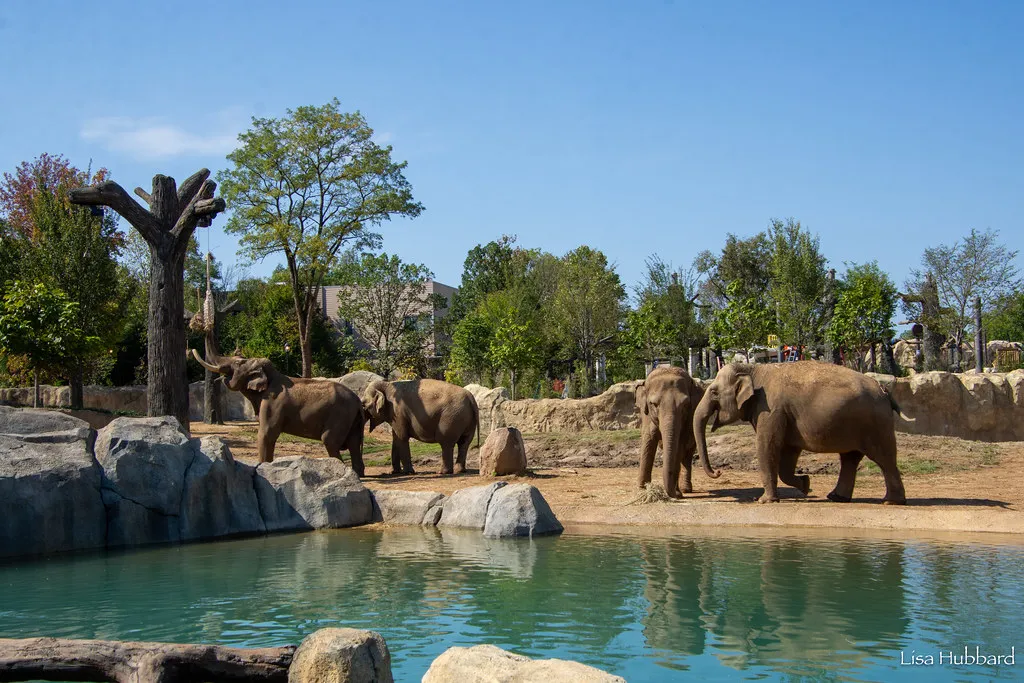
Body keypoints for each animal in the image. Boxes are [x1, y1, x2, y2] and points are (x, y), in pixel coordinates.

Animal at [192, 349, 366, 475]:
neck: (271, 374)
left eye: (237, 362)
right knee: (354, 443)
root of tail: (358, 402)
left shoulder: (273, 403)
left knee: (330, 440)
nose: (218, 378)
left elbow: (266, 434)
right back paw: (358, 475)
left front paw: (263, 468)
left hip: (340, 416)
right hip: (353, 420)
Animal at [634, 366, 712, 498]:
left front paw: (676, 493)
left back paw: (685, 490)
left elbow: (679, 445)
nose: (675, 494)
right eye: (654, 404)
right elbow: (648, 439)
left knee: (687, 455)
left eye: (685, 405)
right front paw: (642, 489)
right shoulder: (646, 414)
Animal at [693, 361, 907, 505]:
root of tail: (885, 391)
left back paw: (891, 502)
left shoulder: (771, 409)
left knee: (884, 459)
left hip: (876, 424)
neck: (753, 369)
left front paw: (764, 501)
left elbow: (766, 445)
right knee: (850, 459)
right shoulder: (785, 416)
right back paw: (836, 497)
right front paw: (805, 484)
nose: (718, 471)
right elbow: (787, 455)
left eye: (713, 392)